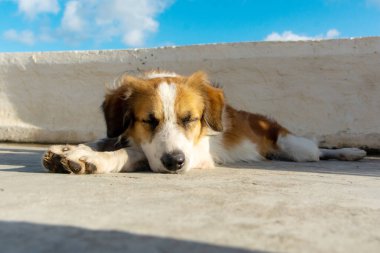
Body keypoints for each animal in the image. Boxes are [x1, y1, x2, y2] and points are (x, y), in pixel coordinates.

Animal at [43, 71, 366, 174]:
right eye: (149, 120)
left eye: (190, 119)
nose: (175, 163)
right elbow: (104, 139)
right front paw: (70, 150)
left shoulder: (198, 155)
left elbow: (132, 152)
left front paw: (95, 159)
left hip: (297, 148)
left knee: (317, 149)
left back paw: (350, 152)